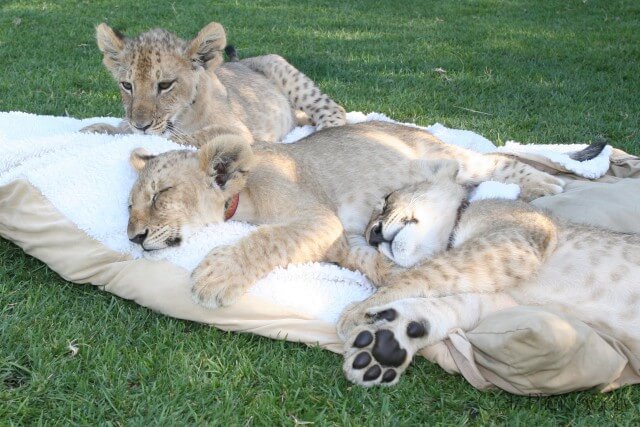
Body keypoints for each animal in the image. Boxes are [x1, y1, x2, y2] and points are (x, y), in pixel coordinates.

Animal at [80, 22, 346, 146]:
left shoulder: (238, 132)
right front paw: (95, 129)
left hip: (278, 65)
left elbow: (193, 137)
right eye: (127, 85)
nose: (141, 125)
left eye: (165, 85)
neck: (182, 116)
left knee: (334, 109)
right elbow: (118, 128)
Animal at [125, 120, 569, 310]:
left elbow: (267, 238)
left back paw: (549, 184)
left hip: (450, 158)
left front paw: (216, 276)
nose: (133, 237)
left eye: (161, 194)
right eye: (130, 207)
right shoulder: (341, 235)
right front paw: (393, 273)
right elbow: (362, 258)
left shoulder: (317, 216)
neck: (241, 200)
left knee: (496, 160)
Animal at [336, 159, 640, 386]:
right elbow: (453, 306)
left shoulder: (515, 239)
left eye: (387, 201)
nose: (373, 236)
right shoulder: (507, 301)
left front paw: (355, 311)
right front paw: (385, 344)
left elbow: (430, 270)